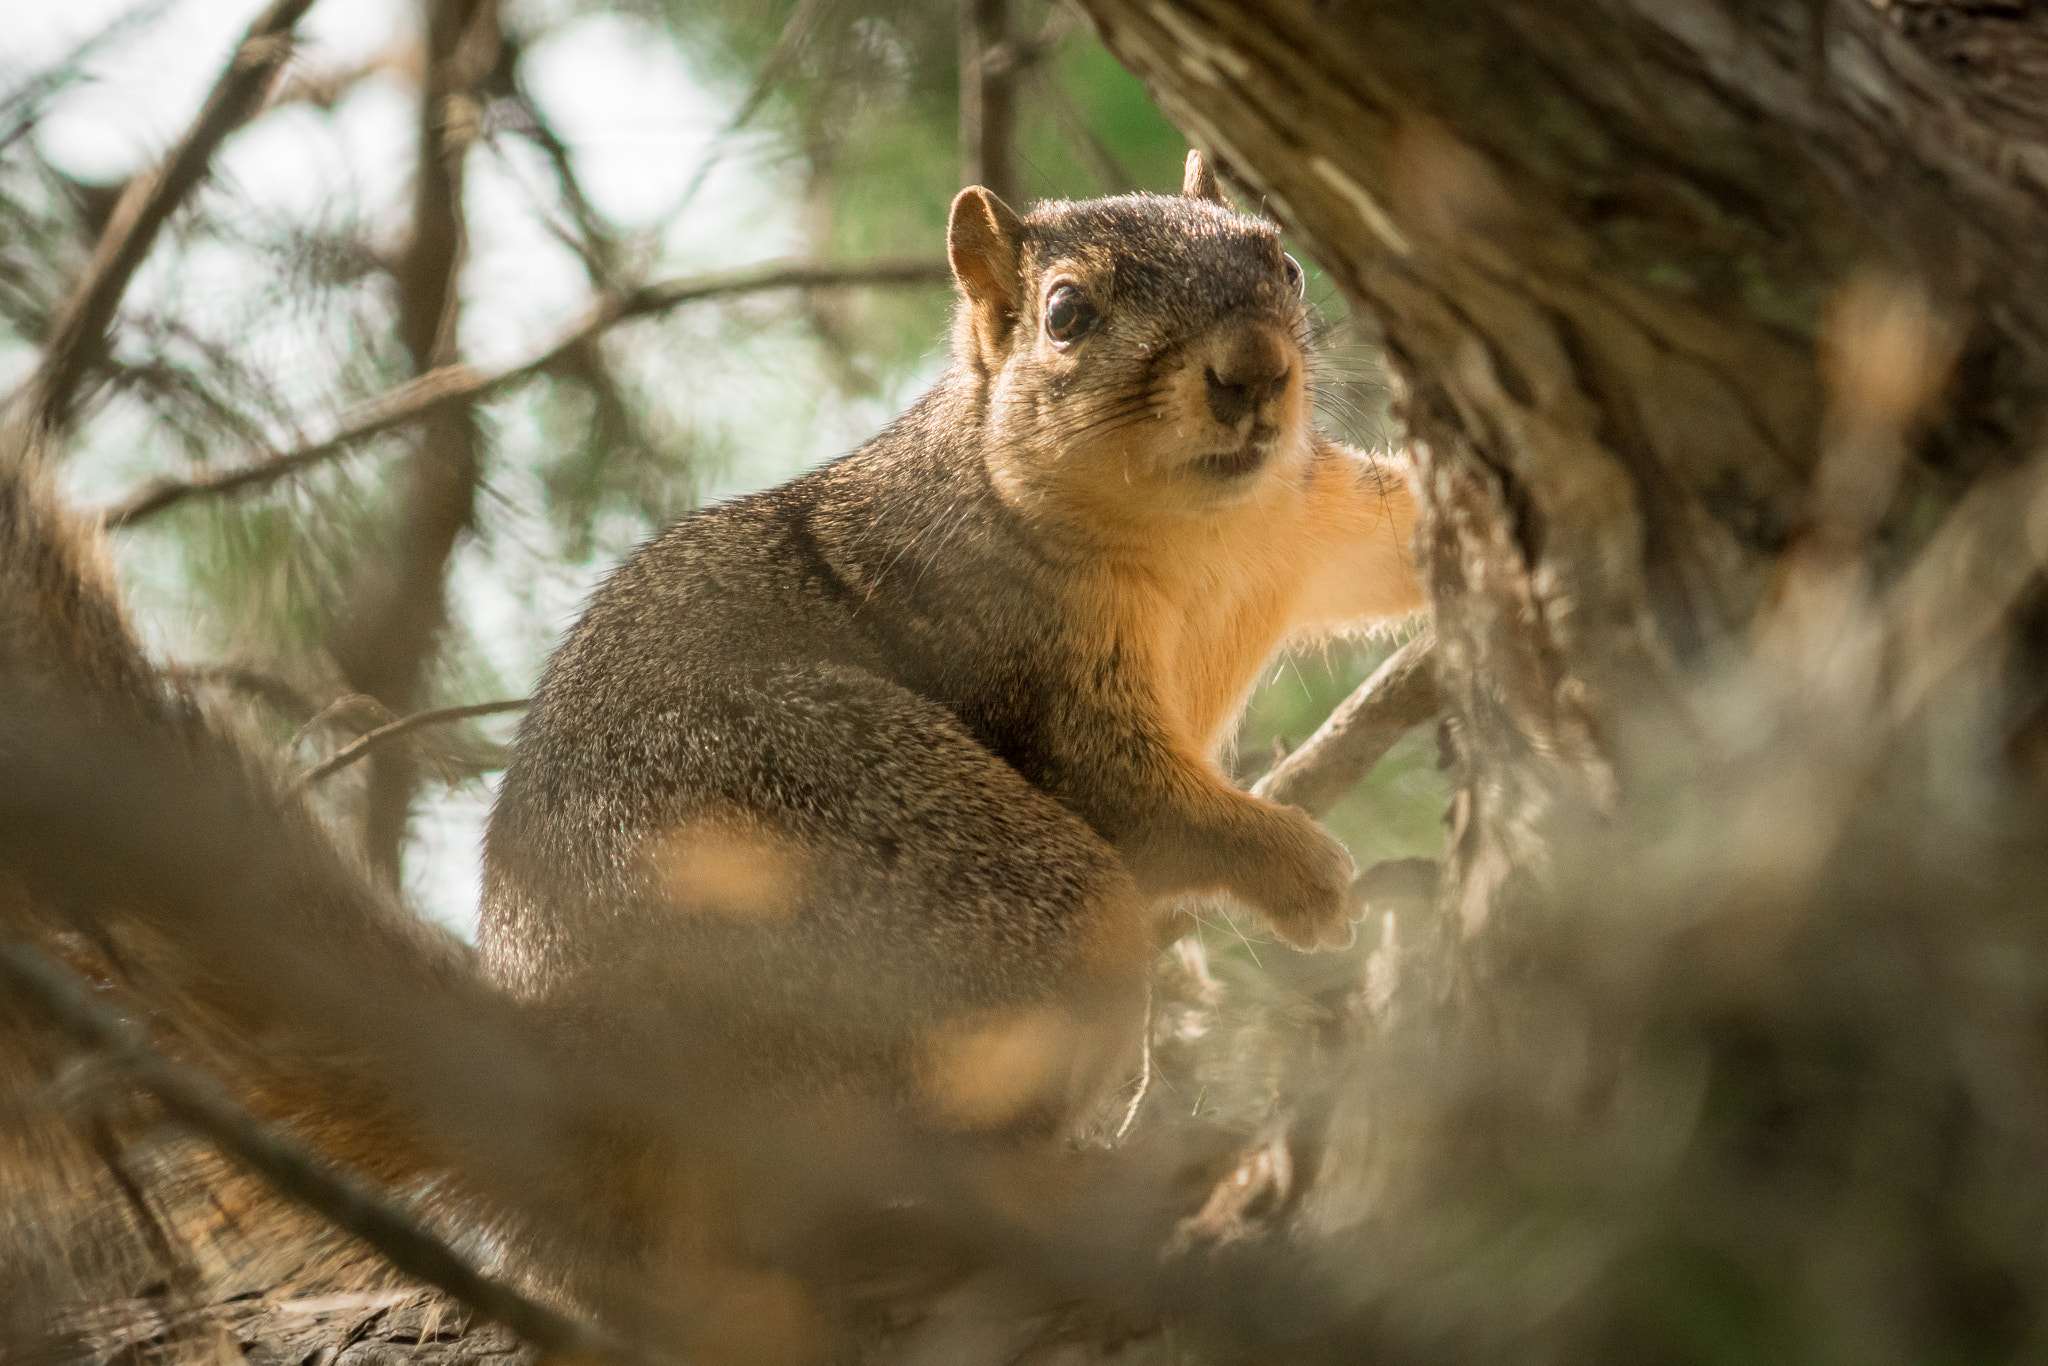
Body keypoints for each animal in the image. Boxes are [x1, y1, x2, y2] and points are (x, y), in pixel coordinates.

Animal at [0, 149, 1425, 1359]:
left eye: (1283, 262)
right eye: (1068, 314)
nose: (1252, 370)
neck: (1198, 538)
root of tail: (581, 1111)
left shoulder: (1298, 519)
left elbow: (1398, 537)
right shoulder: (1003, 648)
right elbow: (1136, 797)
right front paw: (1293, 864)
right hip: (918, 866)